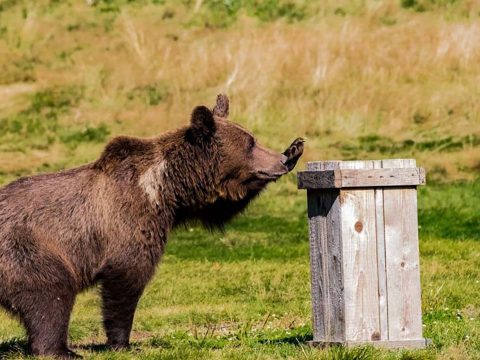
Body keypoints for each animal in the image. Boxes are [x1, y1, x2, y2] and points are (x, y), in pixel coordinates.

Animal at [0, 94, 302, 358]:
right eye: (251, 143)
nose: (280, 161)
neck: (165, 189)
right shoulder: (130, 220)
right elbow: (127, 279)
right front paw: (122, 343)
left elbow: (220, 208)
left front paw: (296, 148)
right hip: (28, 251)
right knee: (50, 295)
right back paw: (61, 350)